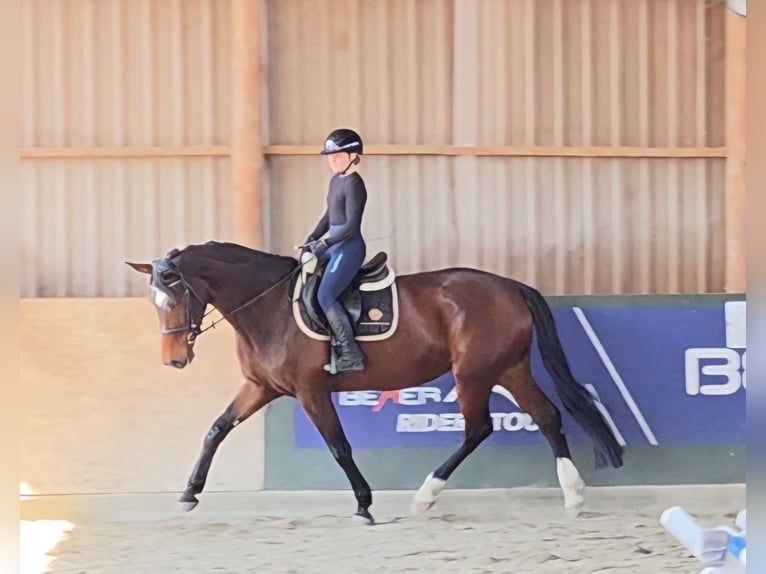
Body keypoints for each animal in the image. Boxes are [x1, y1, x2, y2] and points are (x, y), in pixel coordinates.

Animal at [126, 240, 623, 524]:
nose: (174, 359)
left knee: (479, 428)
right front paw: (189, 494)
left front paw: (364, 504)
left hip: (474, 373)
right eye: (154, 302)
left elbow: (338, 446)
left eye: (176, 296)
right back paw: (574, 495)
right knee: (546, 415)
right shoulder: (261, 387)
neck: (269, 308)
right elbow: (215, 430)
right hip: (509, 368)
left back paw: (425, 496)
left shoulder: (310, 391)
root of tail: (510, 286)